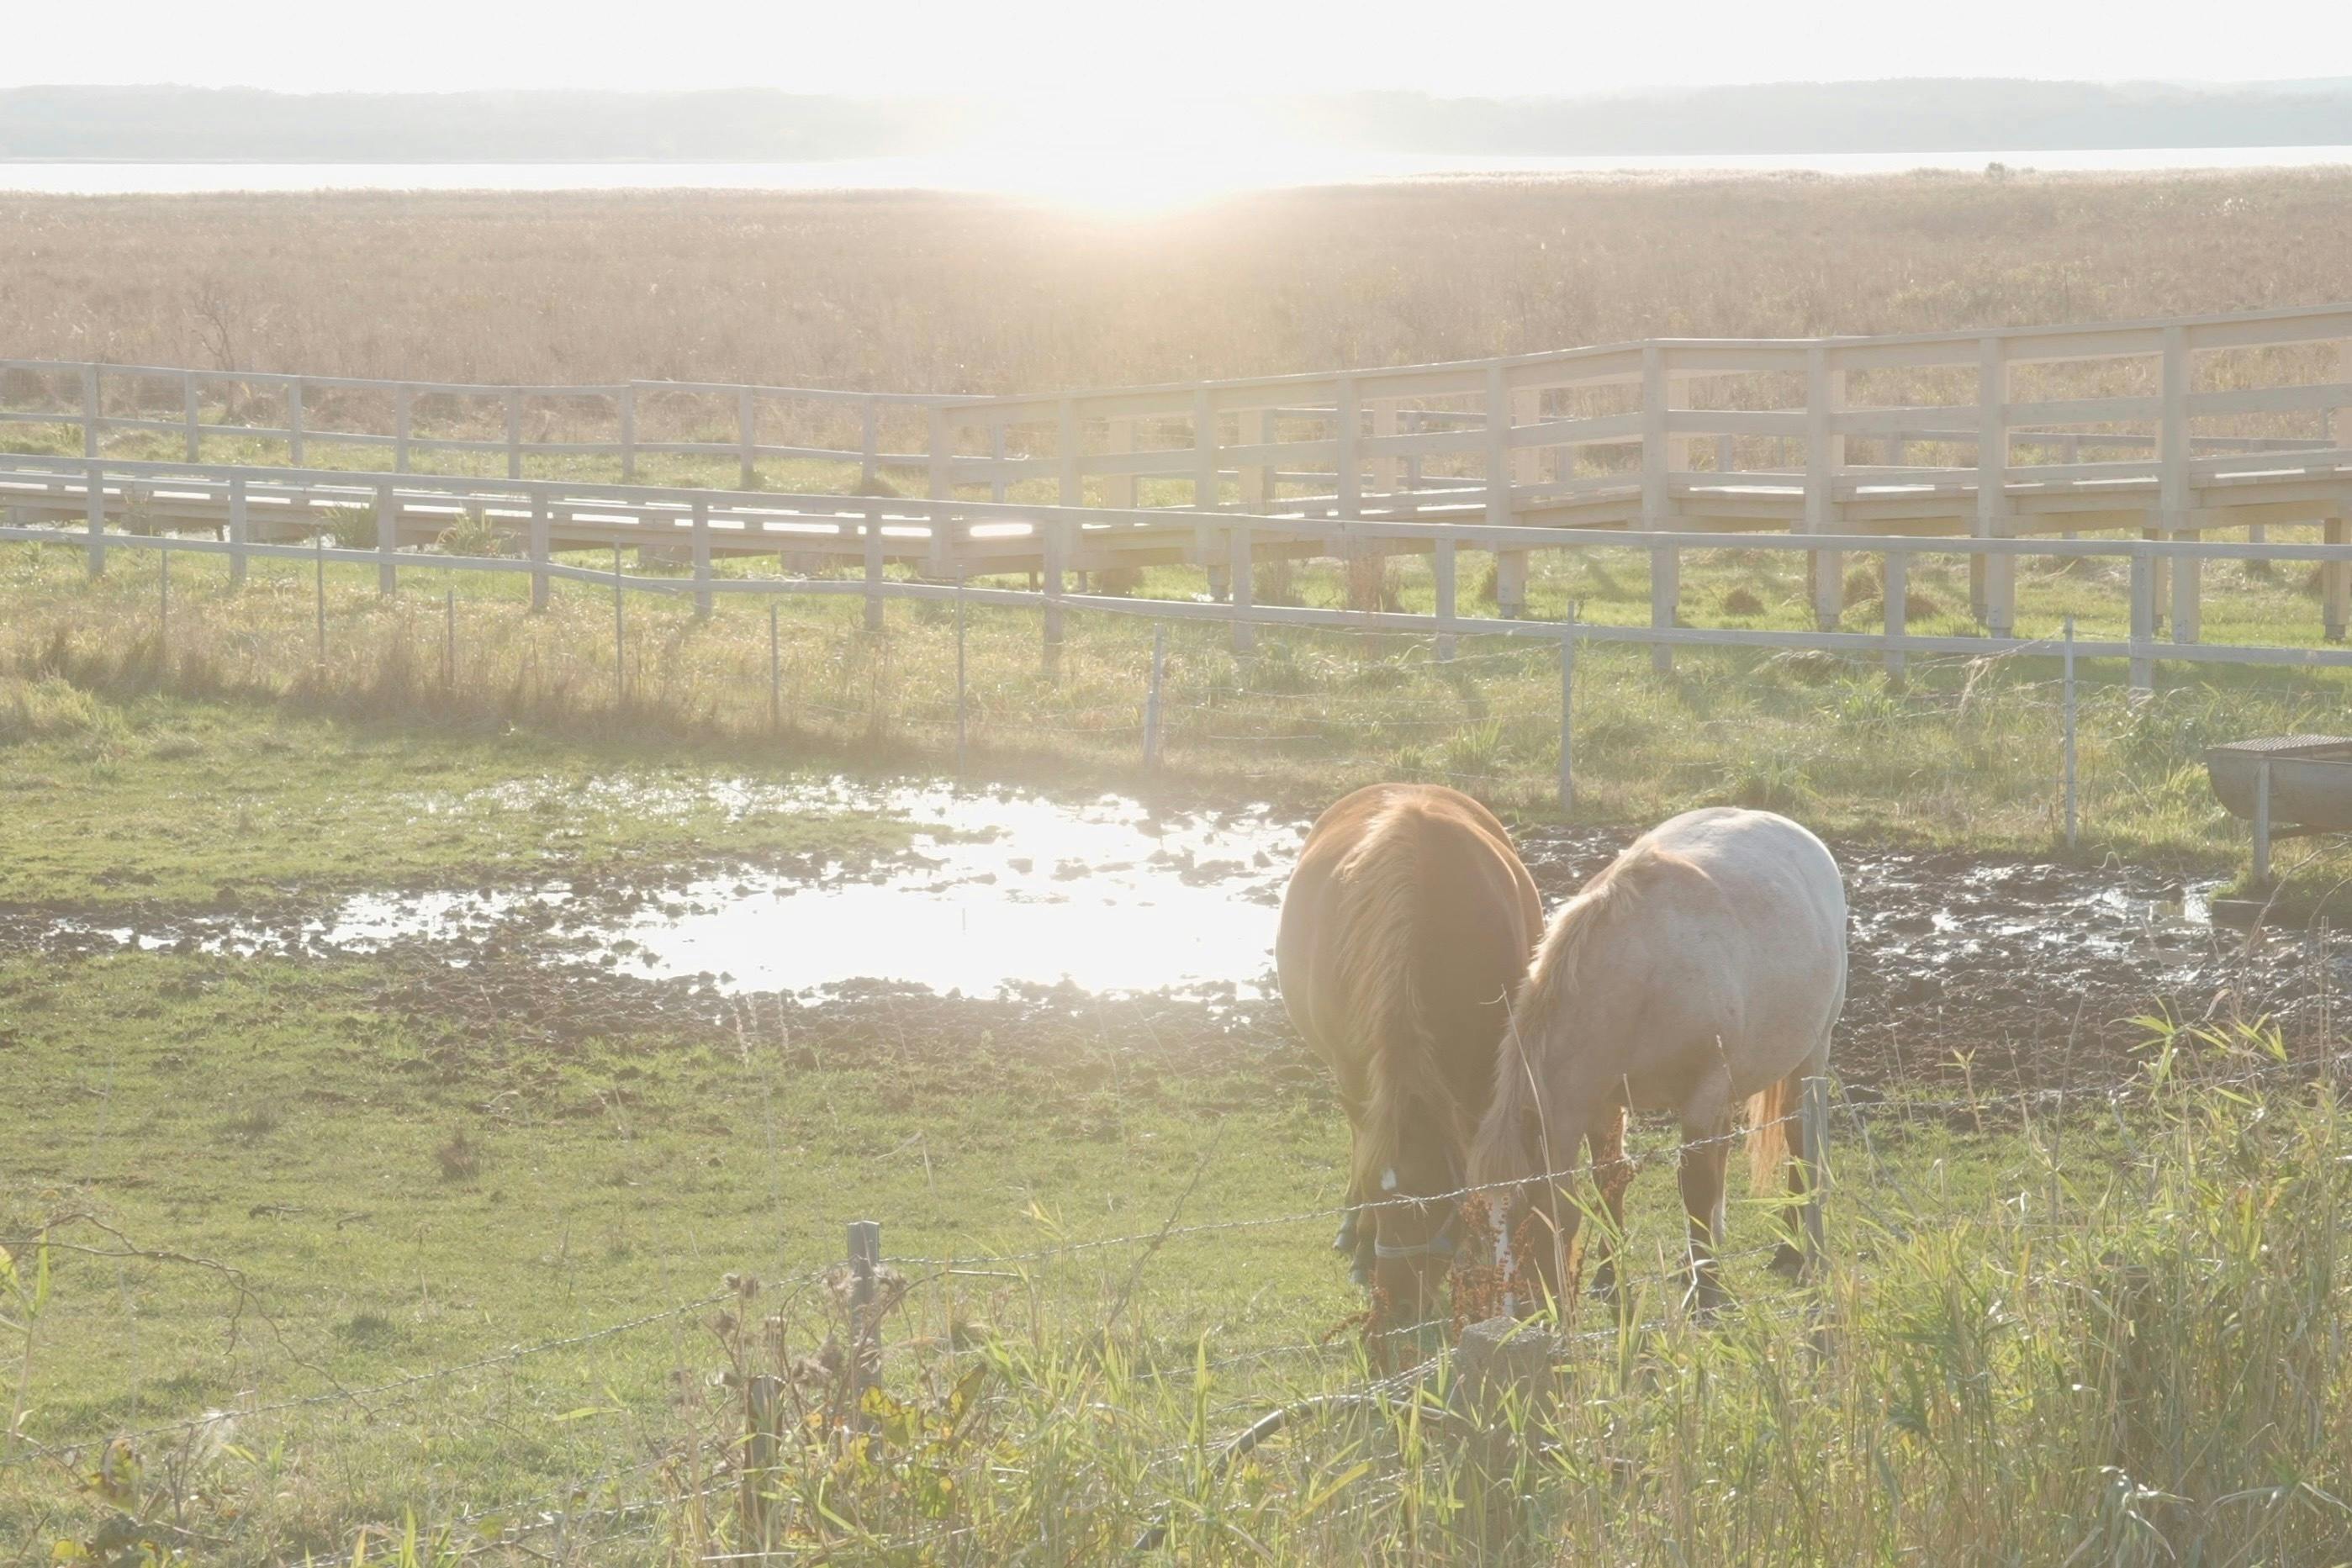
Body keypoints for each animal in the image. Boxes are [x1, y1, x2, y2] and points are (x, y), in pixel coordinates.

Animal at [1288, 784, 1542, 1326]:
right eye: (1382, 1203)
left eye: (1435, 1204)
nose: (1400, 1306)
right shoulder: (1354, 1072)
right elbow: (1365, 1147)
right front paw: (1363, 1243)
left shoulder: (1481, 1072)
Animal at [1467, 808, 1834, 1316]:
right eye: (1482, 1232)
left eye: (1527, 1223)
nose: (1516, 1323)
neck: (1643, 973)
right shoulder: (1602, 1101)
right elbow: (1609, 1179)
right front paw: (1609, 1279)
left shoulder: (1702, 1092)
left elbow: (1695, 1186)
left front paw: (1706, 1297)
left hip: (1812, 1054)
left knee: (1800, 1139)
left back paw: (1791, 1252)